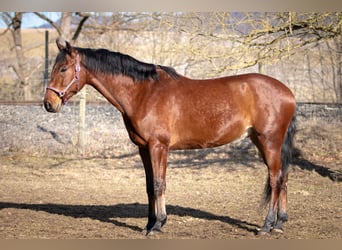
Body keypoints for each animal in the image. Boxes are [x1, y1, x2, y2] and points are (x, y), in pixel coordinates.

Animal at [44, 39, 296, 236]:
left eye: (63, 69)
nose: (48, 104)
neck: (144, 93)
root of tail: (288, 92)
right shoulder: (143, 148)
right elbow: (148, 186)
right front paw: (148, 225)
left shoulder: (159, 147)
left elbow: (159, 184)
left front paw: (158, 225)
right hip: (262, 141)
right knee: (282, 177)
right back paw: (279, 223)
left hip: (270, 141)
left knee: (275, 179)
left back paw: (267, 226)